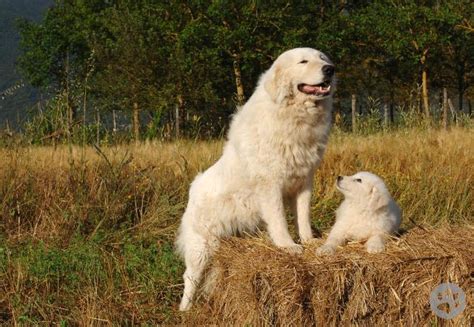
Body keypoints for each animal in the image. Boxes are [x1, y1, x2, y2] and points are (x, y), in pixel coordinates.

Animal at [176, 47, 336, 312]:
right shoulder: (271, 186)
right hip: (202, 246)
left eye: (323, 59)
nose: (330, 69)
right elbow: (279, 221)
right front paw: (288, 246)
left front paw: (309, 241)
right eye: (304, 61)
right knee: (190, 277)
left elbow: (303, 216)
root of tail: (193, 188)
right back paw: (185, 310)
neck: (292, 114)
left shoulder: (304, 182)